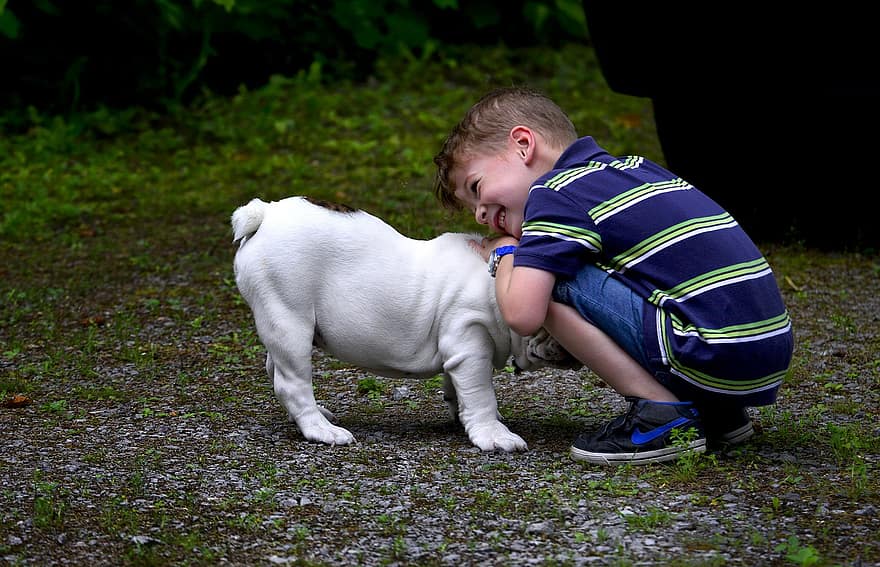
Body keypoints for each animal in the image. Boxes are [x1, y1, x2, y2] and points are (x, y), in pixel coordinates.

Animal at [230, 195, 580, 452]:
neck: (499, 281)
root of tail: (265, 214)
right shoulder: (471, 344)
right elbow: (481, 394)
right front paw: (494, 434)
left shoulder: (460, 352)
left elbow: (458, 388)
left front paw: (462, 413)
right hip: (289, 317)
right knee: (292, 382)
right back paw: (322, 430)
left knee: (276, 368)